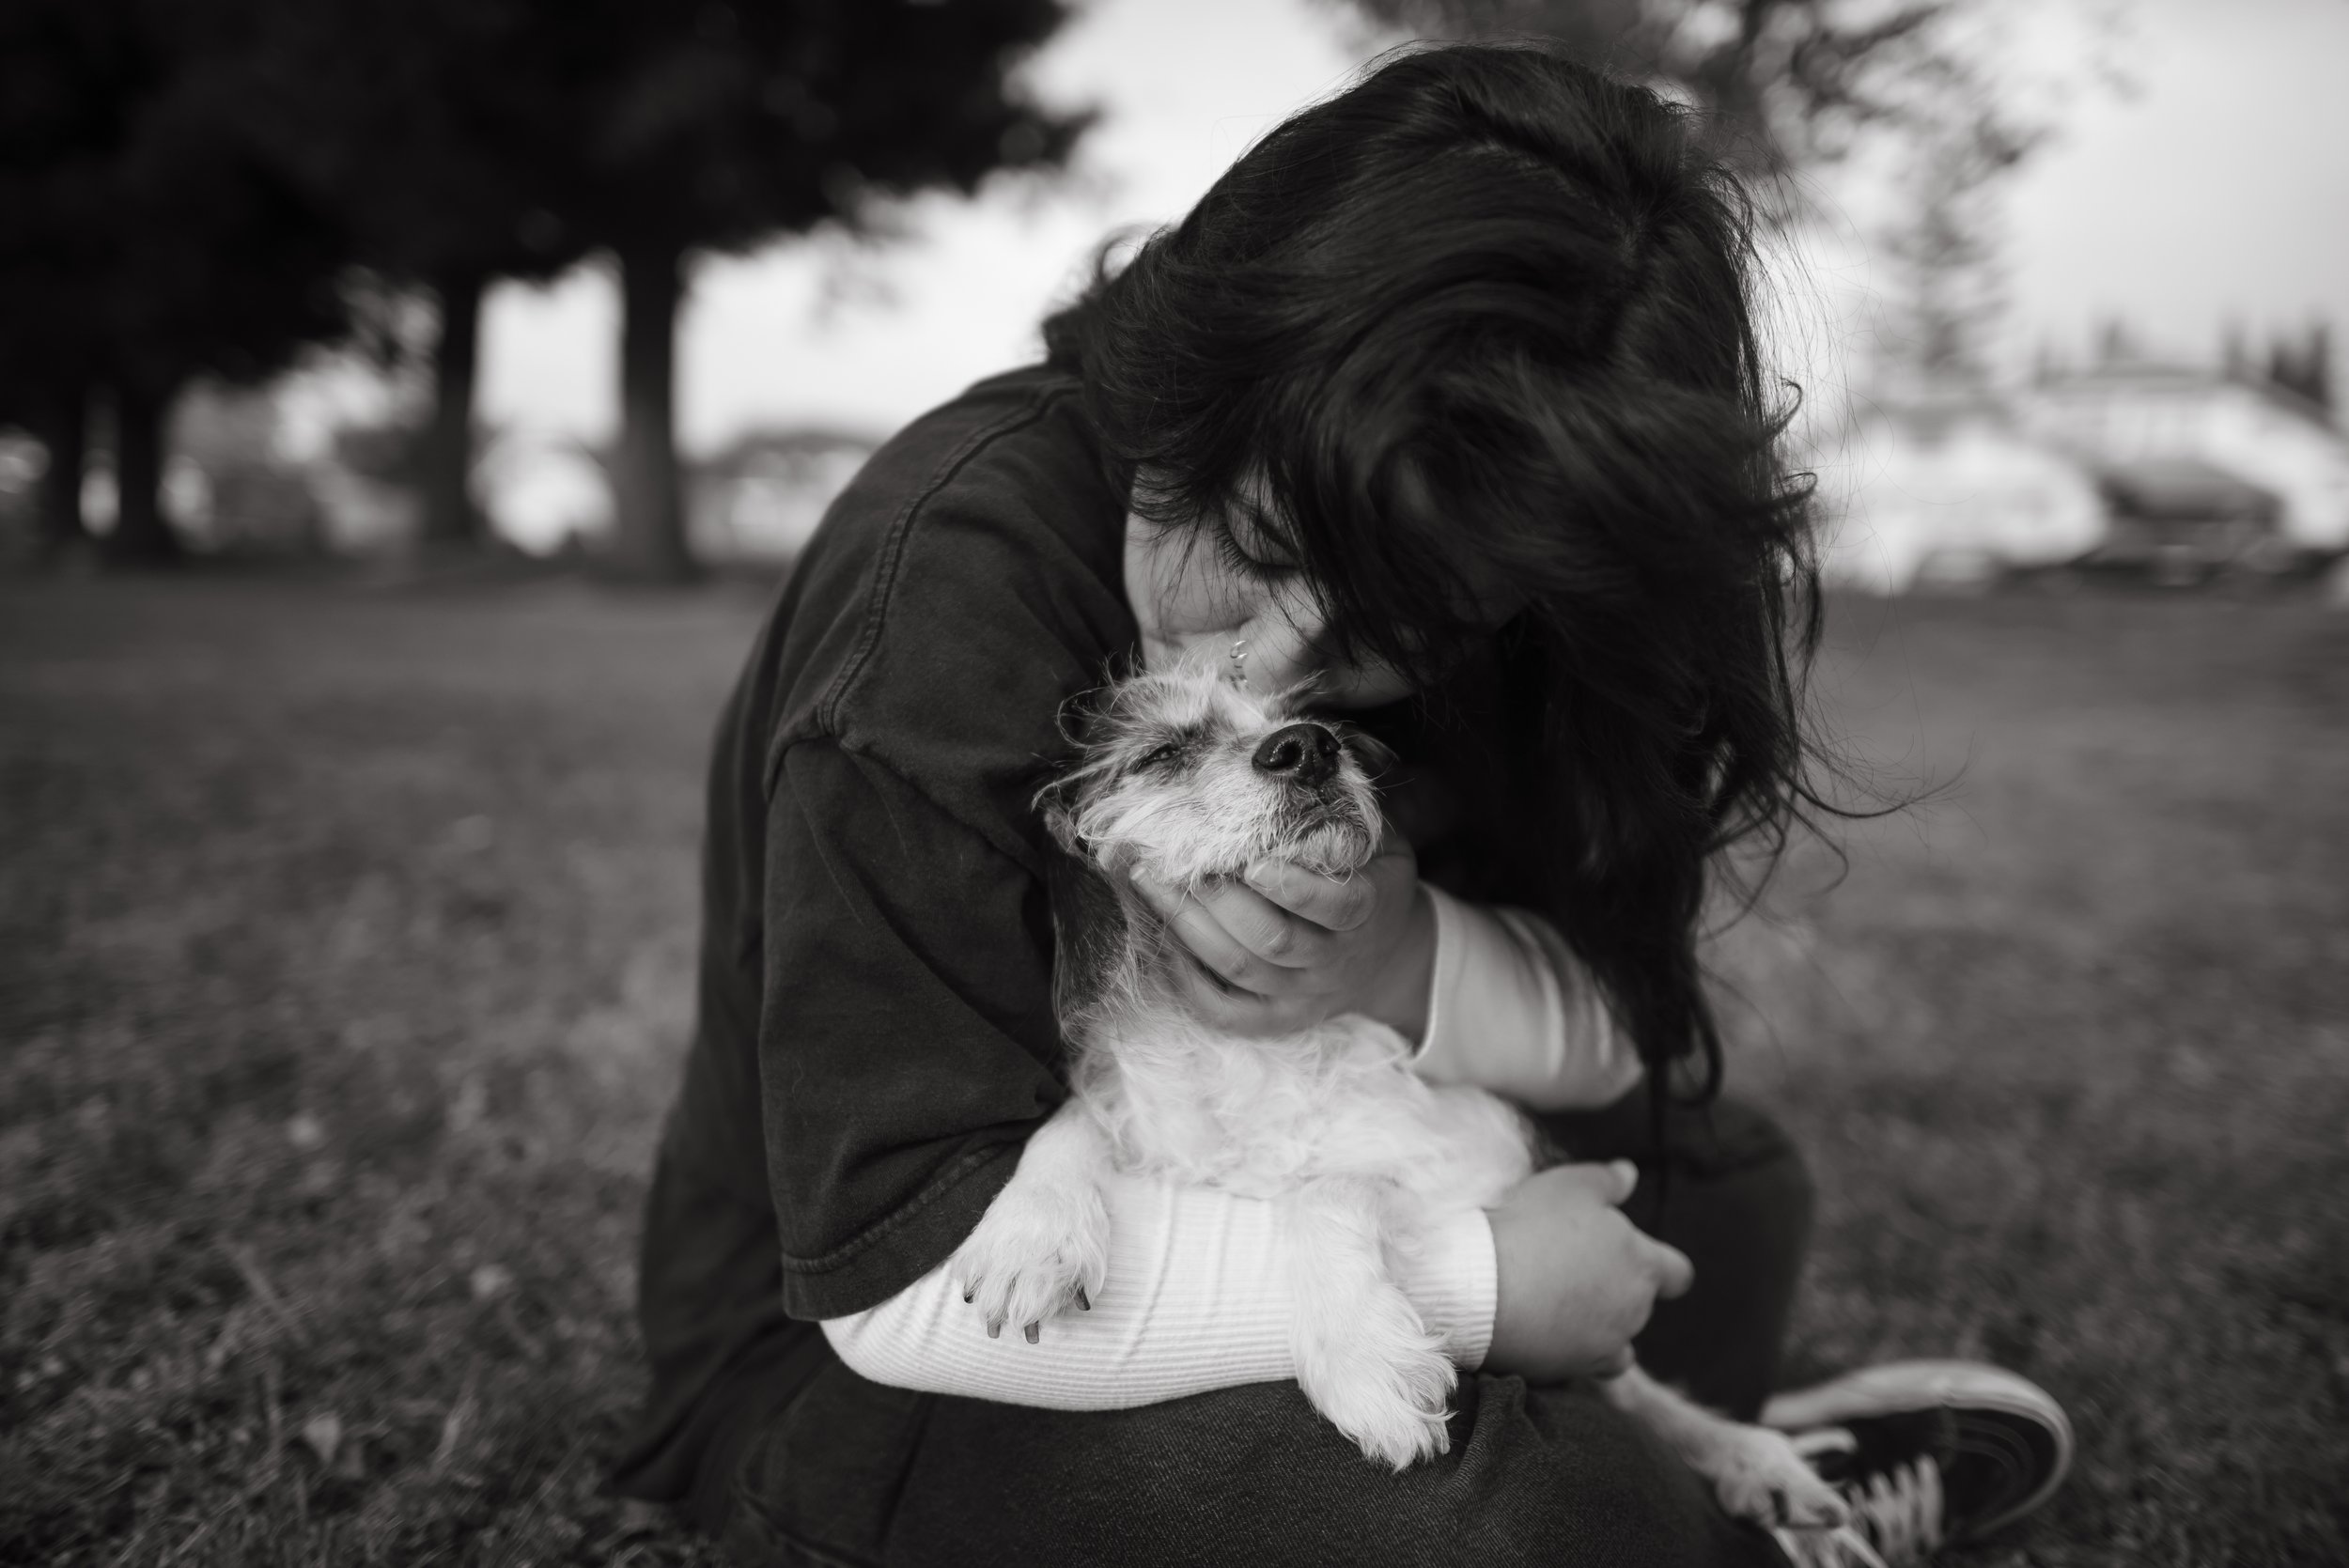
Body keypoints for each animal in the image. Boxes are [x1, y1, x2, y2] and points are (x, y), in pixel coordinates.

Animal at [954, 666, 1851, 1530]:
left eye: (1331, 726)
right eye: (1164, 751)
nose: (1309, 747)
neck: (1236, 1050)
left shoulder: (1473, 1153)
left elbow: (1321, 1189)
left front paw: (1363, 1362)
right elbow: (1074, 1117)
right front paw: (1030, 1233)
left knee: (1648, 1396)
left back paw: (1758, 1461)